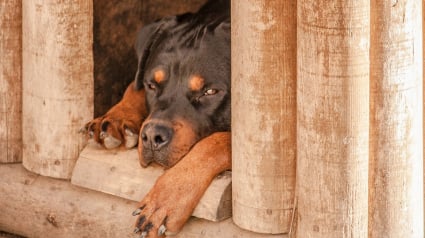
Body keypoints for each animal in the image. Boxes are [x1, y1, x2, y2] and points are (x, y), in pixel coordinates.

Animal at [82, 0, 230, 237]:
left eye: (210, 92)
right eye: (152, 85)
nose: (152, 136)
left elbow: (217, 141)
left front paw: (166, 199)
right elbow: (133, 86)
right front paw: (115, 118)